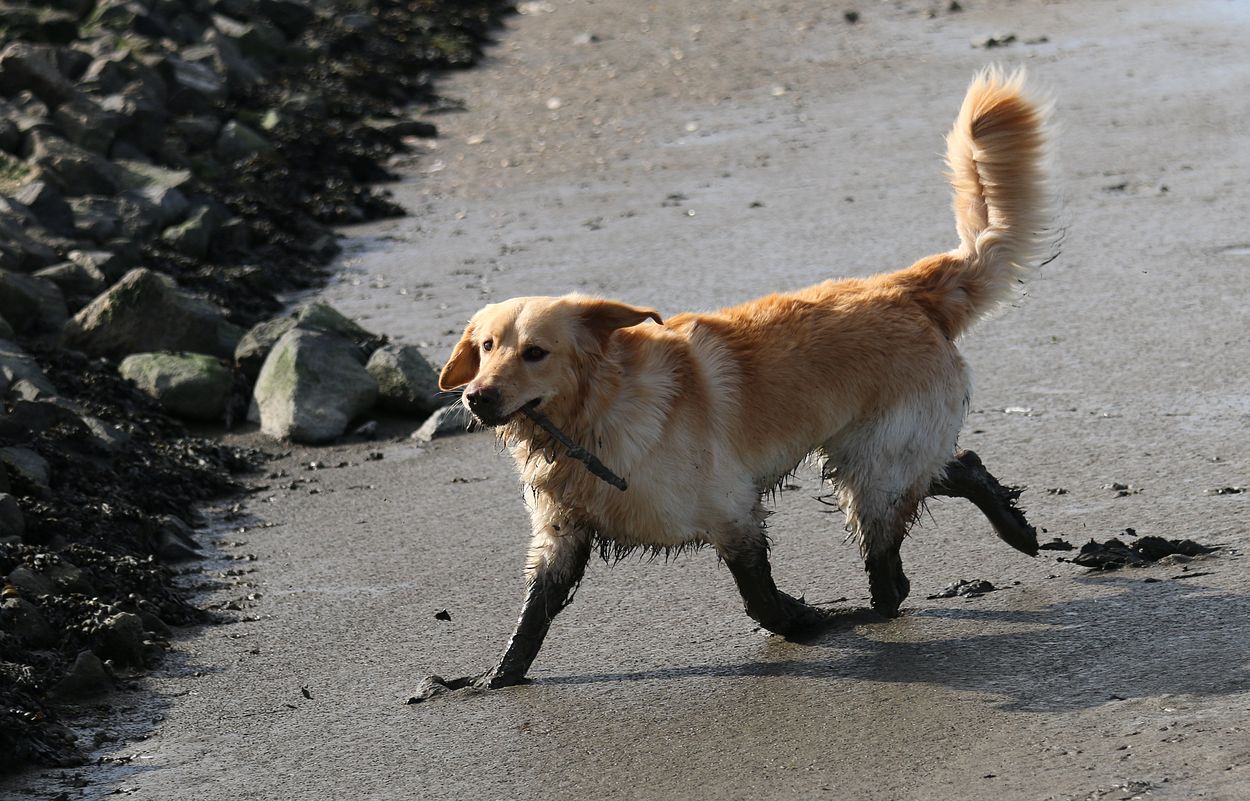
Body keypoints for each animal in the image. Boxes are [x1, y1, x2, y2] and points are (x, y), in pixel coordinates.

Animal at [425, 67, 1052, 694]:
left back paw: (863, 608)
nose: (476, 398)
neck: (594, 416)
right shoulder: (561, 531)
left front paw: (804, 621)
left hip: (875, 464)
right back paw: (1014, 531)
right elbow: (536, 610)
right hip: (872, 454)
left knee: (893, 575)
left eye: (534, 352)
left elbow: (759, 597)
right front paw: (498, 676)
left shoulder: (731, 510)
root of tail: (903, 287)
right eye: (485, 348)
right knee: (956, 467)